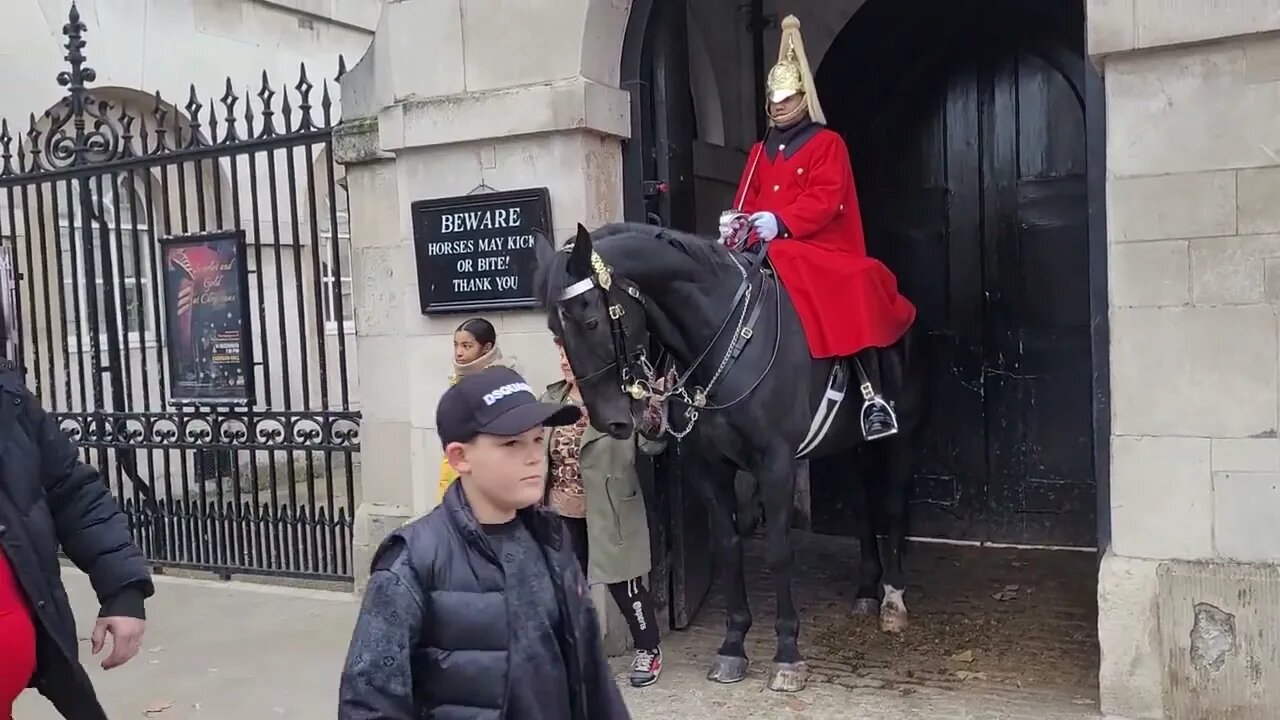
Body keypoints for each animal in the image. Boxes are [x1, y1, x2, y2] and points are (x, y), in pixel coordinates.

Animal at [535, 222, 926, 691]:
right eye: (554, 330)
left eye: (591, 320)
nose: (610, 421)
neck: (724, 341)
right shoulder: (708, 469)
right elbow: (727, 546)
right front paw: (733, 645)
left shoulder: (776, 465)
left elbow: (778, 551)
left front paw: (787, 654)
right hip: (847, 445)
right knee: (863, 505)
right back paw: (867, 590)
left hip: (901, 436)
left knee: (893, 505)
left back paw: (893, 599)